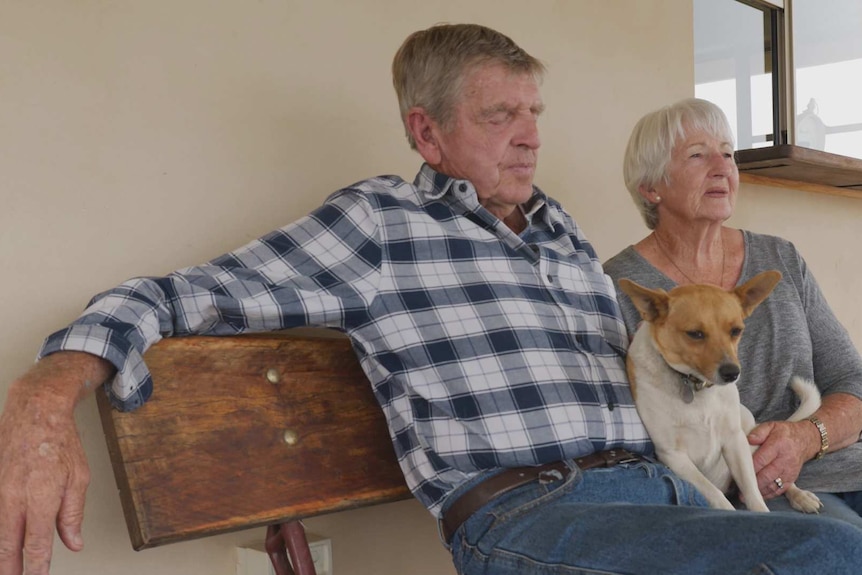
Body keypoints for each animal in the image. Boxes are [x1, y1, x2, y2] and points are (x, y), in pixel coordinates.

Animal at [620, 272, 824, 516]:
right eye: (695, 334)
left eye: (736, 331)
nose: (732, 373)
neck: (695, 386)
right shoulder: (673, 455)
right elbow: (714, 494)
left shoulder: (735, 442)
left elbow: (753, 491)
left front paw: (763, 512)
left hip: (750, 441)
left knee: (780, 479)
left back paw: (800, 496)